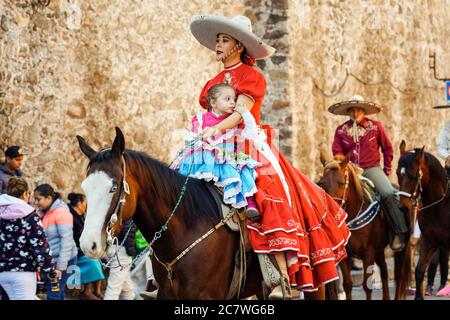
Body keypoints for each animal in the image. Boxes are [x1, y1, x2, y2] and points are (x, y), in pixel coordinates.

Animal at [316, 153, 412, 300]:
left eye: (341, 183)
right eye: (321, 183)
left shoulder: (368, 252)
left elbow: (367, 286)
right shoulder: (346, 256)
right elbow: (347, 285)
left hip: (402, 247)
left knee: (399, 276)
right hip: (379, 250)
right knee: (384, 271)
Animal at [398, 141, 450, 300]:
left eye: (413, 175)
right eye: (397, 173)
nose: (403, 207)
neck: (441, 205)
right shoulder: (429, 241)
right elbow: (420, 271)